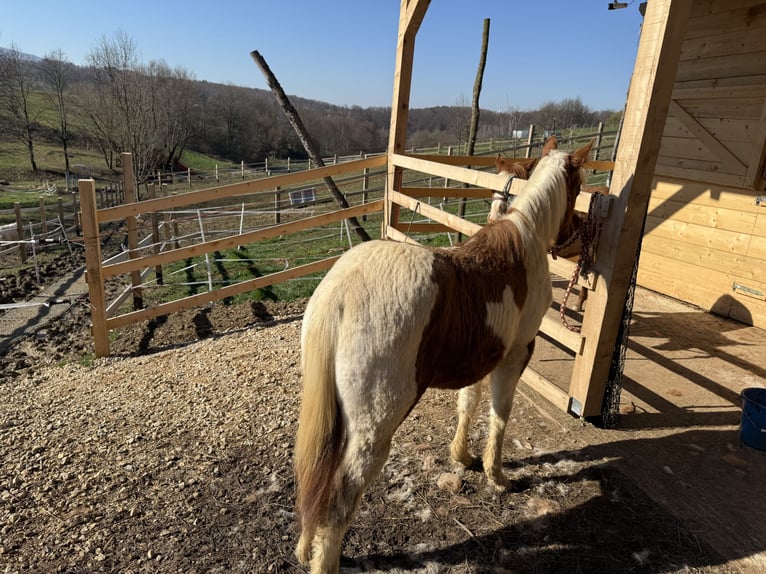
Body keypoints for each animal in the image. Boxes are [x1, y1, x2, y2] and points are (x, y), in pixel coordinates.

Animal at [294, 137, 592, 572]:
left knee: (314, 474)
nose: (573, 236)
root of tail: (342, 291)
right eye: (579, 185)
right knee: (338, 496)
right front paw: (497, 476)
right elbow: (500, 414)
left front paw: (463, 457)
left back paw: (306, 548)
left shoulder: (483, 357)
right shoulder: (515, 355)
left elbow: (468, 402)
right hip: (373, 430)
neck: (525, 237)